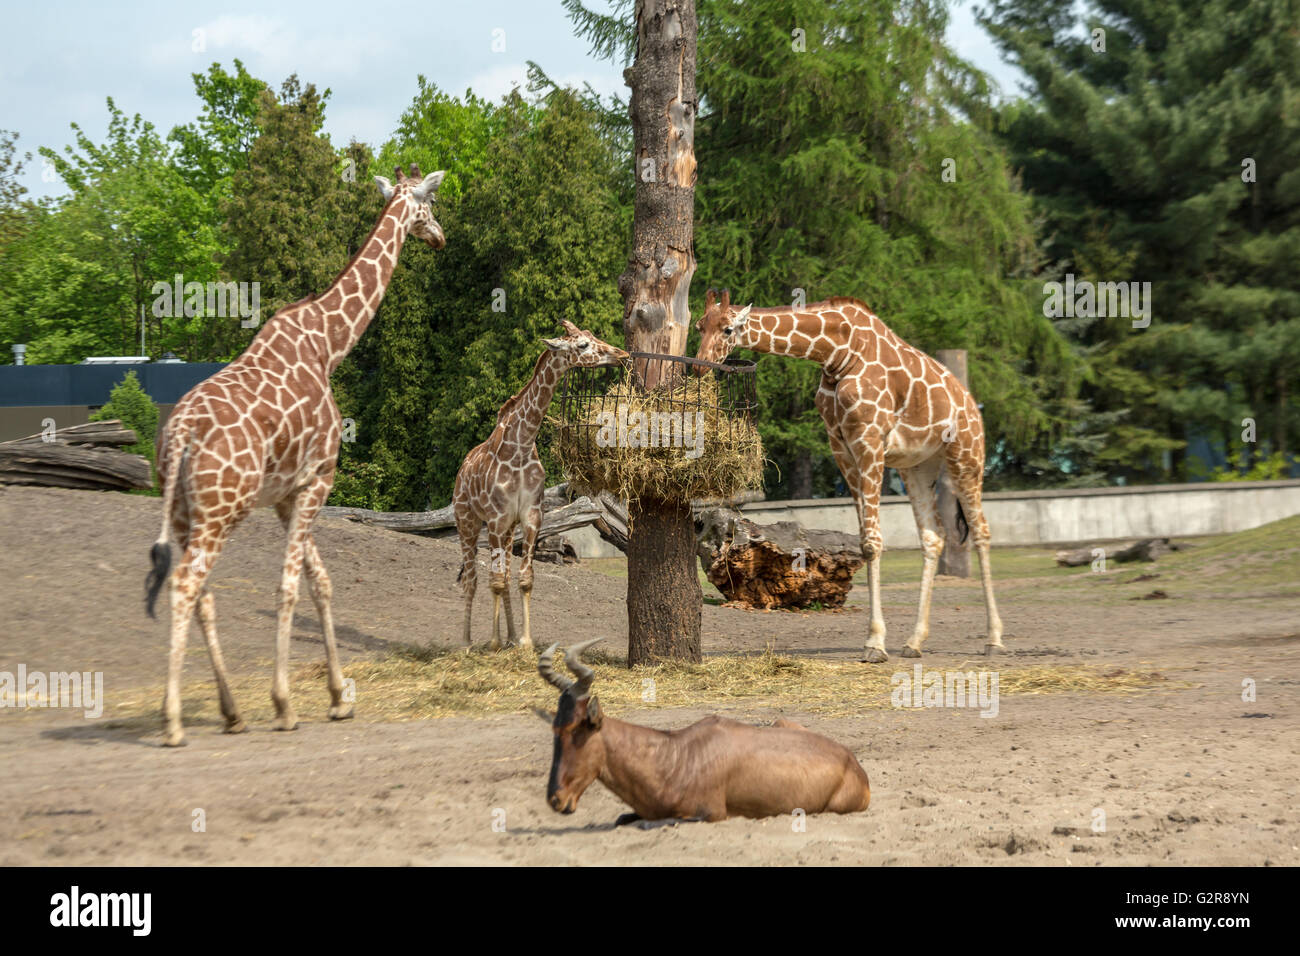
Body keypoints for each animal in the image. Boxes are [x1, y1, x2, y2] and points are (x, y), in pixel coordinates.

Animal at [145, 164, 449, 749]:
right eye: (429, 205)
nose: (440, 237)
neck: (330, 344)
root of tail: (179, 436)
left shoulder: (289, 494)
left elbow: (320, 582)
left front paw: (337, 699)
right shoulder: (319, 478)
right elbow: (288, 588)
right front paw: (285, 704)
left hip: (187, 511)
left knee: (200, 593)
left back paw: (231, 713)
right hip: (222, 509)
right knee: (188, 585)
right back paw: (172, 723)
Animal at [452, 321, 629, 650]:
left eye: (593, 336)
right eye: (583, 344)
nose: (621, 354)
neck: (521, 445)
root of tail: (461, 470)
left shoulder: (531, 516)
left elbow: (524, 578)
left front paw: (523, 641)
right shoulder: (496, 518)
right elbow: (494, 580)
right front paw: (493, 642)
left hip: (508, 529)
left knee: (504, 573)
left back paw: (507, 636)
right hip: (467, 520)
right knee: (472, 577)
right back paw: (468, 642)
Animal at [691, 291, 1003, 660]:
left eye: (727, 329)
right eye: (699, 326)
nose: (698, 366)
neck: (836, 354)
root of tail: (971, 403)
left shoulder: (869, 440)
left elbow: (872, 542)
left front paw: (875, 644)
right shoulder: (840, 445)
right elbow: (867, 539)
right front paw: (880, 640)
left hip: (966, 455)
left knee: (981, 531)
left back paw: (994, 639)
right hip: (917, 465)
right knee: (933, 537)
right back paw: (914, 642)